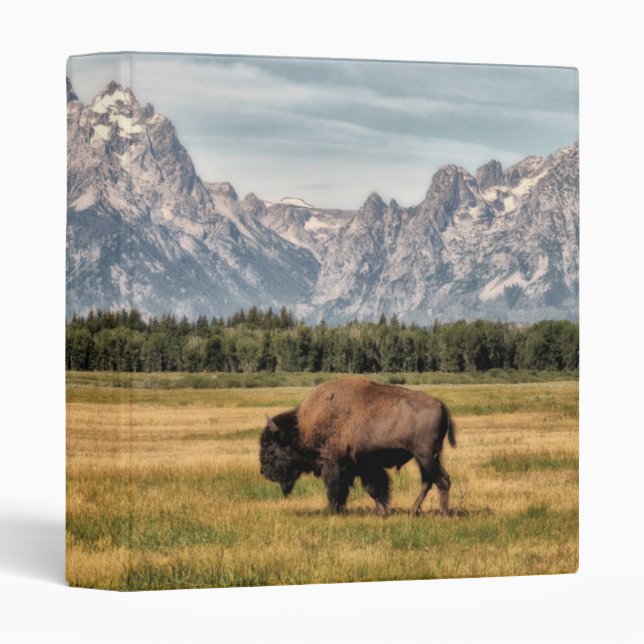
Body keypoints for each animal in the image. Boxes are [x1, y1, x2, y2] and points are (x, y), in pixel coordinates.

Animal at [259, 378, 456, 515]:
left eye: (271, 448)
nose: (264, 472)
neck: (301, 428)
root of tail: (440, 404)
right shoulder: (365, 466)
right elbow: (375, 489)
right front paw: (383, 512)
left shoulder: (334, 465)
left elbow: (337, 489)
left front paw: (332, 511)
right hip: (423, 458)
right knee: (428, 481)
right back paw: (413, 510)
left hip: (426, 456)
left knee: (442, 480)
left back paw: (443, 513)